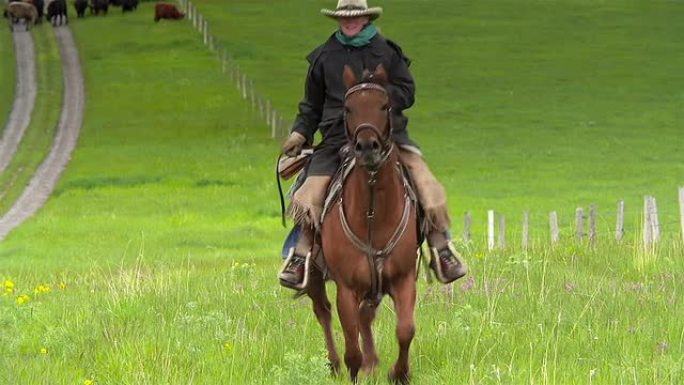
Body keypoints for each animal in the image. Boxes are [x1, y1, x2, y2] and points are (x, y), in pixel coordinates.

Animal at [306, 64, 422, 382]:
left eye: (385, 105)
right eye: (348, 108)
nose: (367, 147)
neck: (373, 215)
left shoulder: (403, 278)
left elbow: (405, 329)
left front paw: (400, 373)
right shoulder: (347, 288)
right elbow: (350, 344)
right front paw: (355, 371)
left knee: (364, 317)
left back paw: (372, 362)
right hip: (316, 276)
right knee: (323, 312)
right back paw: (334, 364)